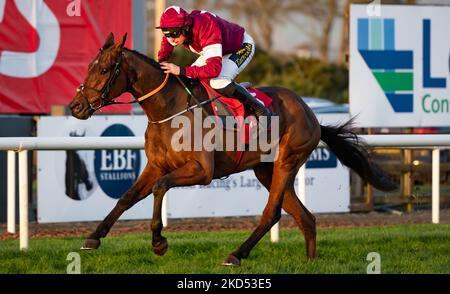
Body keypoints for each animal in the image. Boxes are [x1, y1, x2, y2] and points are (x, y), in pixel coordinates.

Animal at [68, 32, 396, 266]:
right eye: (89, 68)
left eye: (105, 69)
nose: (76, 107)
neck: (169, 109)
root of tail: (309, 112)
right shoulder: (155, 165)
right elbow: (126, 197)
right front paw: (93, 238)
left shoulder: (201, 171)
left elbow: (161, 188)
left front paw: (159, 242)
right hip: (266, 170)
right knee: (305, 217)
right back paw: (309, 262)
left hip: (287, 161)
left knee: (271, 214)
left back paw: (236, 254)